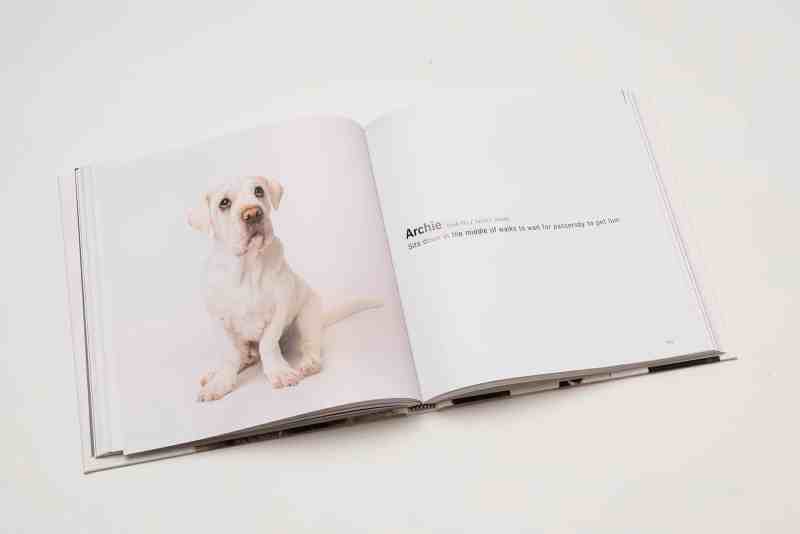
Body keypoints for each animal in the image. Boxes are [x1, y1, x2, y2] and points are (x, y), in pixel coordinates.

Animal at [188, 176, 382, 402]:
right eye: (224, 203)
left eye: (259, 191)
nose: (253, 214)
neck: (247, 268)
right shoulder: (219, 320)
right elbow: (230, 355)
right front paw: (220, 382)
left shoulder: (279, 310)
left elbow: (268, 344)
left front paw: (279, 372)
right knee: (242, 355)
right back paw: (217, 372)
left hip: (306, 318)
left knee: (310, 345)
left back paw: (309, 363)